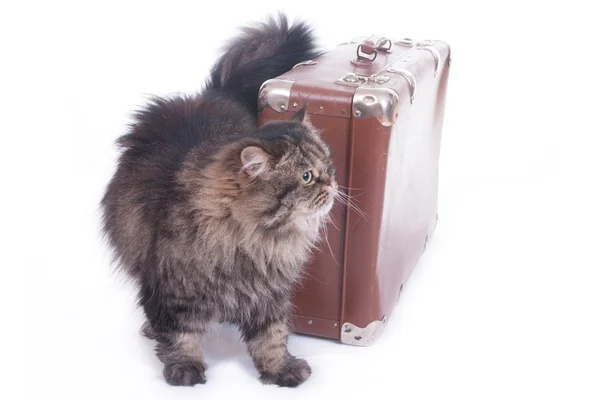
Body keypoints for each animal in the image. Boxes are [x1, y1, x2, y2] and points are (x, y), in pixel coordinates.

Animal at [102, 15, 338, 388]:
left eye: (327, 166)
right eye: (306, 177)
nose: (332, 182)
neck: (254, 243)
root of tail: (211, 95)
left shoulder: (269, 293)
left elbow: (271, 337)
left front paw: (280, 369)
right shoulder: (170, 288)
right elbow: (180, 335)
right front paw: (185, 369)